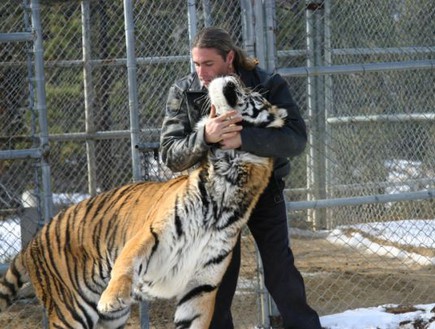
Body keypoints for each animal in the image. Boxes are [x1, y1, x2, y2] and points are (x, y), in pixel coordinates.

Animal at [0, 75, 288, 326]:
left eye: (255, 96)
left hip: (108, 321)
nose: (235, 77)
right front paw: (112, 298)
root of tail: (33, 240)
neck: (229, 178)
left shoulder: (201, 284)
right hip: (70, 310)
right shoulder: (147, 235)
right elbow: (125, 266)